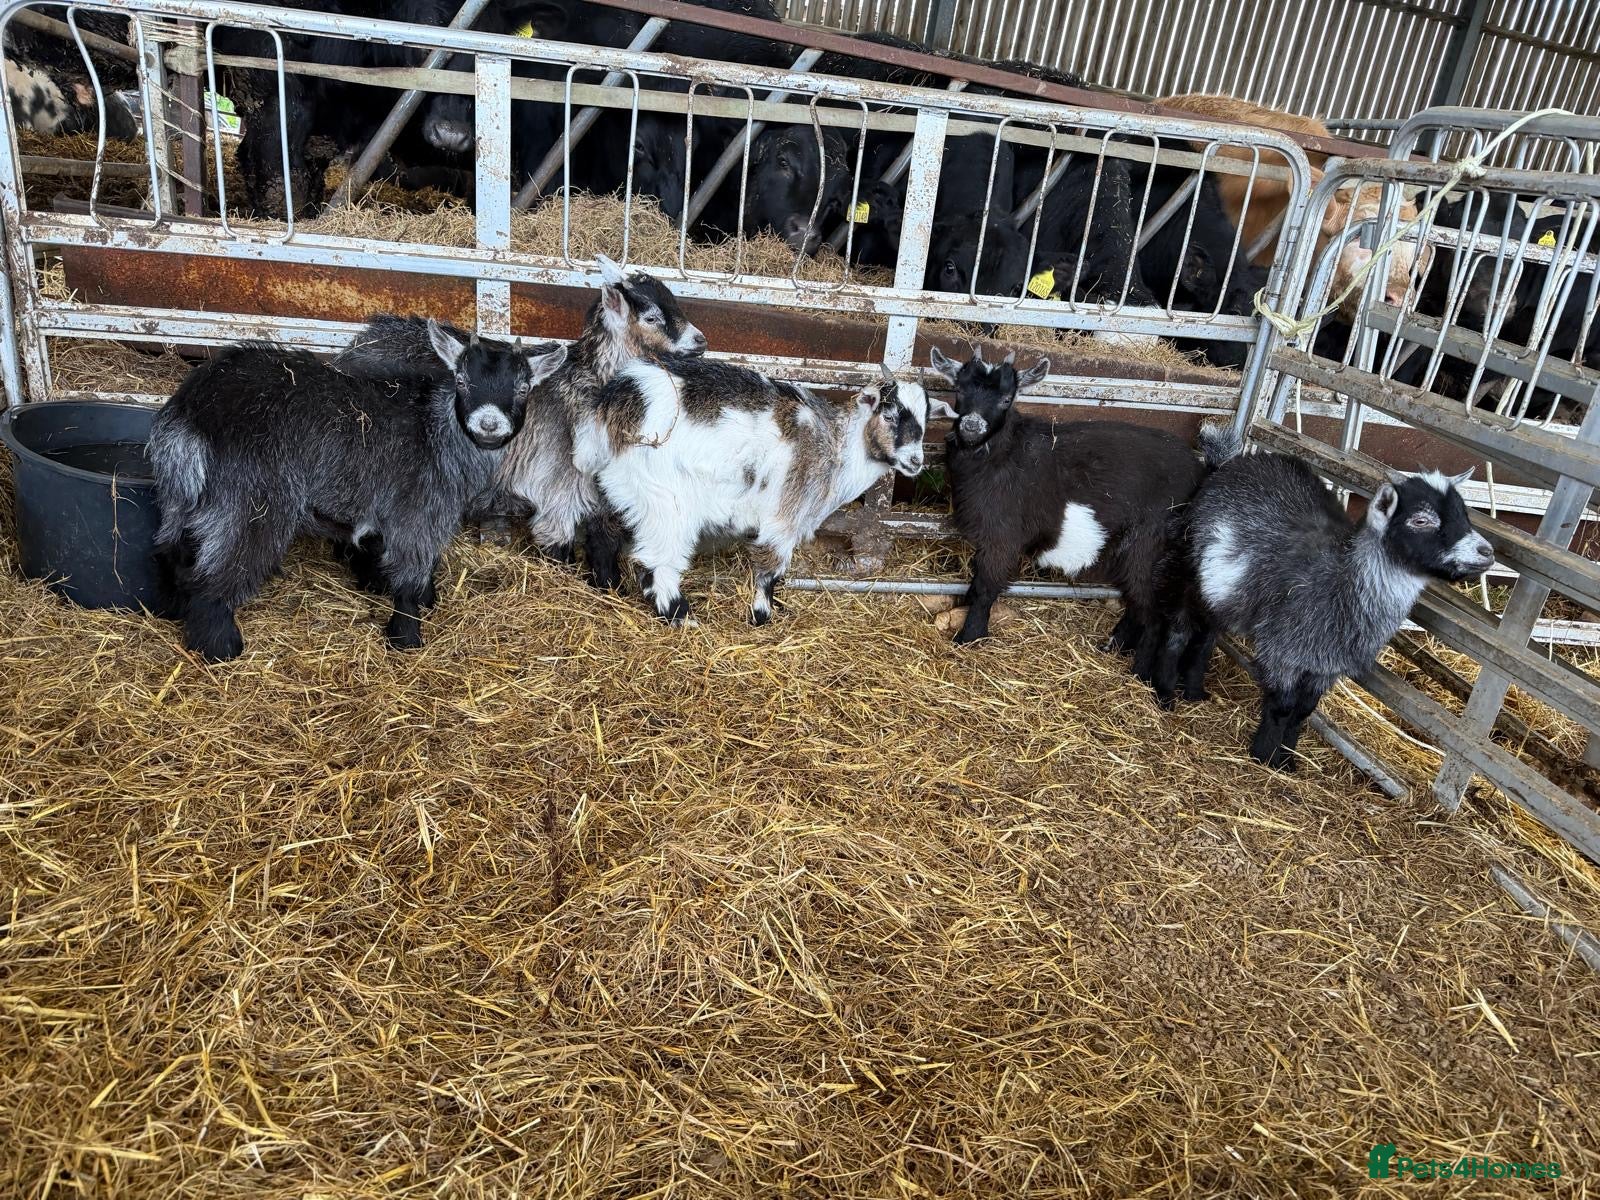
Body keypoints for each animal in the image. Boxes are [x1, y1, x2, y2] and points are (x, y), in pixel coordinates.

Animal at [150, 320, 566, 661]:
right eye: (462, 381)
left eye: (524, 387)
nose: (489, 425)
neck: (435, 430)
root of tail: (193, 413)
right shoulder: (417, 512)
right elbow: (410, 575)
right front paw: (406, 637)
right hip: (251, 503)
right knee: (216, 577)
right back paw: (220, 647)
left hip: (183, 496)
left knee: (172, 549)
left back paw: (174, 608)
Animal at [577, 360, 929, 625]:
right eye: (889, 414)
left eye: (926, 421)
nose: (916, 461)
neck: (836, 445)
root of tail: (617, 404)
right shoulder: (785, 516)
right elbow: (770, 570)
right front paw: (761, 616)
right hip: (664, 500)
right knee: (655, 562)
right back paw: (681, 617)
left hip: (615, 487)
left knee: (601, 534)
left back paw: (610, 588)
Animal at [929, 346, 1206, 694]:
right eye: (960, 390)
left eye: (1007, 399)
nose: (971, 426)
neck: (1000, 453)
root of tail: (1201, 473)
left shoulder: (1002, 538)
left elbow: (984, 588)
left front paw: (969, 638)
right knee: (1138, 603)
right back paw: (1114, 647)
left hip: (1149, 546)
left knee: (1155, 616)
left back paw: (1140, 676)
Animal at [1162, 425, 1495, 770]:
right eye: (1421, 520)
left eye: (1464, 514)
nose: (1487, 552)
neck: (1339, 581)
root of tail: (1229, 463)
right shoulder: (1282, 652)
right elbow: (1283, 707)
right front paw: (1265, 757)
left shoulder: (1327, 666)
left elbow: (1303, 712)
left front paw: (1289, 759)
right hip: (1190, 567)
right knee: (1180, 628)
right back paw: (1165, 693)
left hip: (1224, 591)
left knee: (1207, 635)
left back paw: (1194, 691)